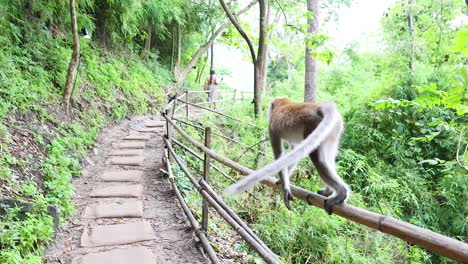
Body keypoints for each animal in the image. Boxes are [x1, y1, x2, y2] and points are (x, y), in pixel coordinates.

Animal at [224, 97, 352, 214]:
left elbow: (280, 155)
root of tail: (320, 107)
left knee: (318, 160)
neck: (283, 104)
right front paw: (282, 180)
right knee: (329, 158)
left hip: (313, 125)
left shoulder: (272, 127)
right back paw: (329, 191)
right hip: (334, 129)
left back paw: (341, 193)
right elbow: (294, 151)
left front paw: (285, 187)